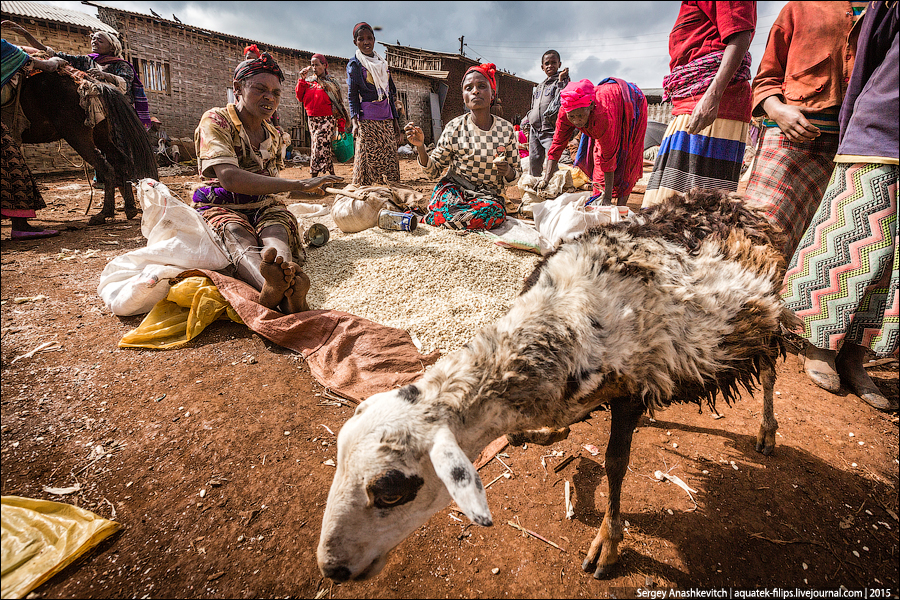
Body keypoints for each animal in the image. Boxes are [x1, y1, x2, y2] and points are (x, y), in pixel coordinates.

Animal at [316, 189, 796, 580]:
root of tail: (735, 202)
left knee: (769, 371)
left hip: (765, 325)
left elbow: (615, 463)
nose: (331, 569)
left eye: (391, 492)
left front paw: (608, 544)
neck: (566, 314)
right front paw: (546, 435)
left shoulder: (630, 388)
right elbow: (548, 430)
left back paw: (767, 432)